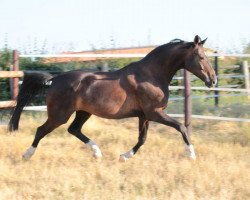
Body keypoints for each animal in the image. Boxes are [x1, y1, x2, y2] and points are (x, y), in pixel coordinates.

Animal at [8, 35, 217, 161]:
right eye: (200, 56)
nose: (213, 80)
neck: (151, 75)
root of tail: (55, 79)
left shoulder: (144, 116)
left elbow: (142, 138)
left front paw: (124, 156)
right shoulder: (154, 113)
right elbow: (181, 127)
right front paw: (191, 154)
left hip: (83, 112)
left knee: (73, 129)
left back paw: (96, 152)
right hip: (60, 115)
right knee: (41, 130)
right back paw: (27, 155)